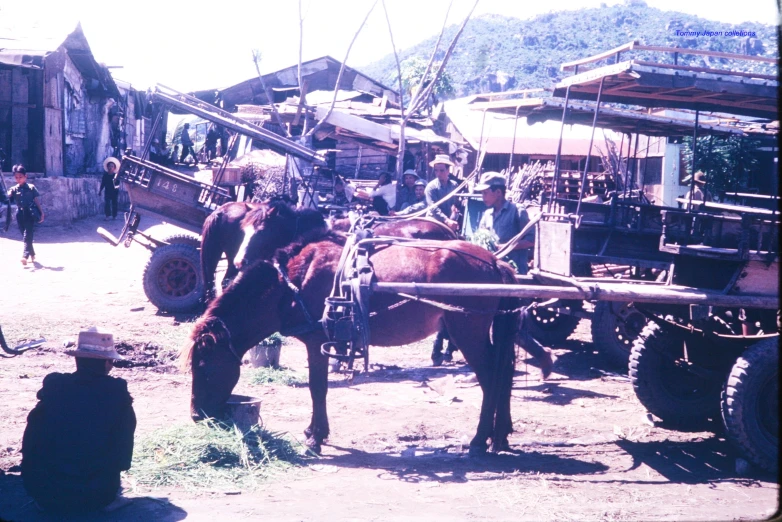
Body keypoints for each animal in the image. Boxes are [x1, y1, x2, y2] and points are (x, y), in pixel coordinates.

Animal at [182, 234, 520, 452]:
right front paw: (315, 431)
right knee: (503, 374)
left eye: (205, 366)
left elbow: (317, 388)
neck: (292, 285)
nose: (197, 415)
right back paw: (500, 435)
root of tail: (495, 263)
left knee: (491, 378)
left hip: (467, 334)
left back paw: (479, 440)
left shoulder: (317, 342)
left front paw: (315, 437)